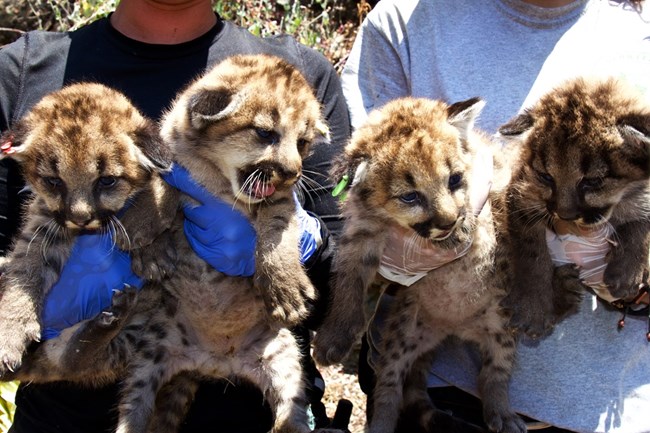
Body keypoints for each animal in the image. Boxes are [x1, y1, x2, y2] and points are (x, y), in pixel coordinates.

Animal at [312, 97, 524, 432]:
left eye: (454, 179)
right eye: (410, 197)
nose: (448, 223)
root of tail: (454, 327)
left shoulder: (496, 176)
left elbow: (496, 208)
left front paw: (465, 228)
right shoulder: (359, 237)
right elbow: (347, 285)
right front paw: (333, 339)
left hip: (502, 324)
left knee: (494, 373)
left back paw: (502, 414)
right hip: (402, 335)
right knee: (389, 388)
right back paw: (381, 426)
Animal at [498, 76, 644, 336]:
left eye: (592, 181)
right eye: (546, 177)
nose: (564, 215)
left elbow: (641, 221)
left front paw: (626, 271)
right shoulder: (520, 195)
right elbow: (530, 253)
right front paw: (532, 306)